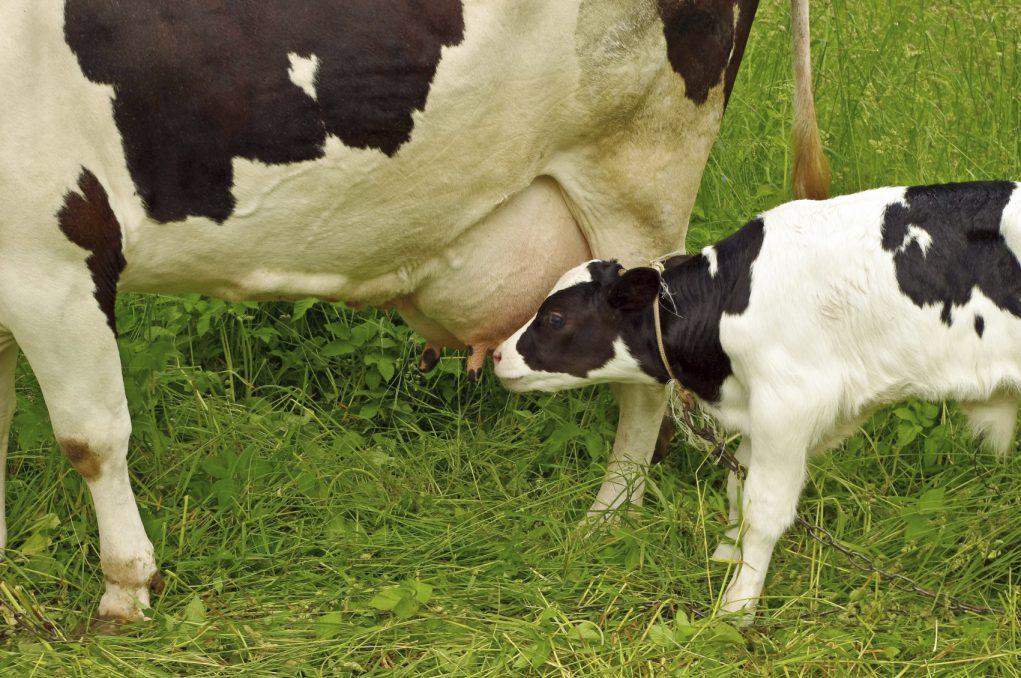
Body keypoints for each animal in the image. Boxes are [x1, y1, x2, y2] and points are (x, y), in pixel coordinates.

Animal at [0, 1, 824, 620]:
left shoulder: (52, 259)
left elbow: (91, 439)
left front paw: (124, 588)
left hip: (642, 167)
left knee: (646, 380)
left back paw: (607, 515)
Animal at [494, 181, 1021, 624]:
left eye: (555, 318)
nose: (498, 354)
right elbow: (737, 484)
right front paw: (729, 554)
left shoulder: (788, 402)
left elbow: (765, 507)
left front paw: (738, 605)